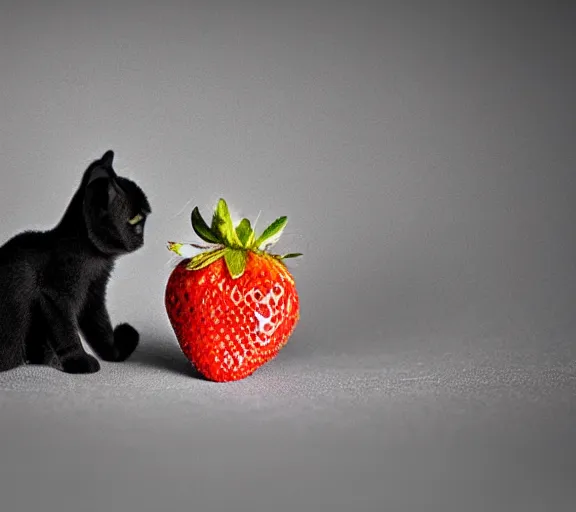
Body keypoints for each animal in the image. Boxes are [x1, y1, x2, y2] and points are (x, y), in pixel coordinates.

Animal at [0, 150, 151, 374]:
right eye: (134, 219)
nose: (142, 236)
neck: (95, 260)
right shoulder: (55, 295)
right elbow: (66, 331)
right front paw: (79, 360)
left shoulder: (93, 294)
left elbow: (101, 327)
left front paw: (114, 352)